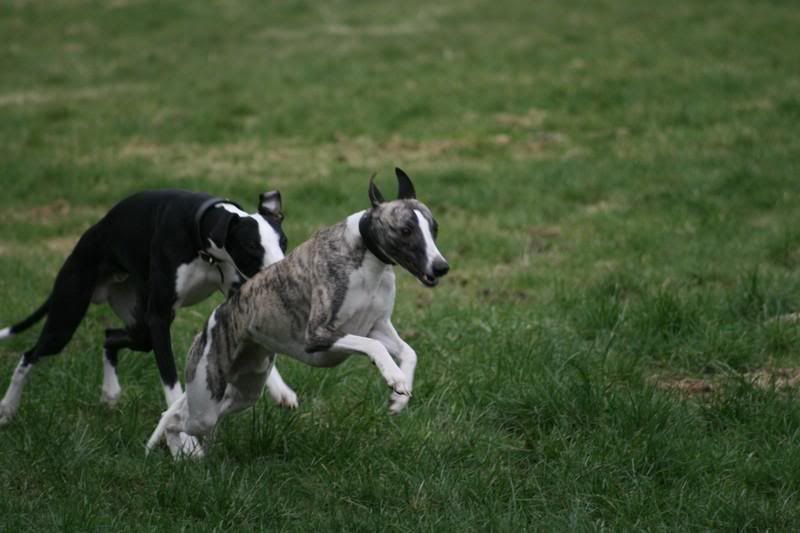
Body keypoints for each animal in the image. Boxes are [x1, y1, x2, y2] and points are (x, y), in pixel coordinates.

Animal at [0, 189, 300, 426]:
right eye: (251, 246)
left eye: (283, 241)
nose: (282, 272)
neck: (201, 236)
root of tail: (92, 234)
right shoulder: (159, 319)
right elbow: (171, 382)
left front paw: (281, 391)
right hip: (68, 316)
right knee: (30, 355)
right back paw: (8, 408)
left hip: (139, 329)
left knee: (109, 336)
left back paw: (110, 393)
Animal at [148, 168, 450, 456]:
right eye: (406, 230)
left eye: (434, 228)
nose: (441, 267)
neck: (366, 257)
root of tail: (216, 316)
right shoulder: (318, 334)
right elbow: (373, 346)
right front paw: (394, 377)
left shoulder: (377, 325)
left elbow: (409, 352)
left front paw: (400, 397)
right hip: (207, 398)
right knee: (175, 419)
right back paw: (180, 452)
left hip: (242, 392)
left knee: (180, 412)